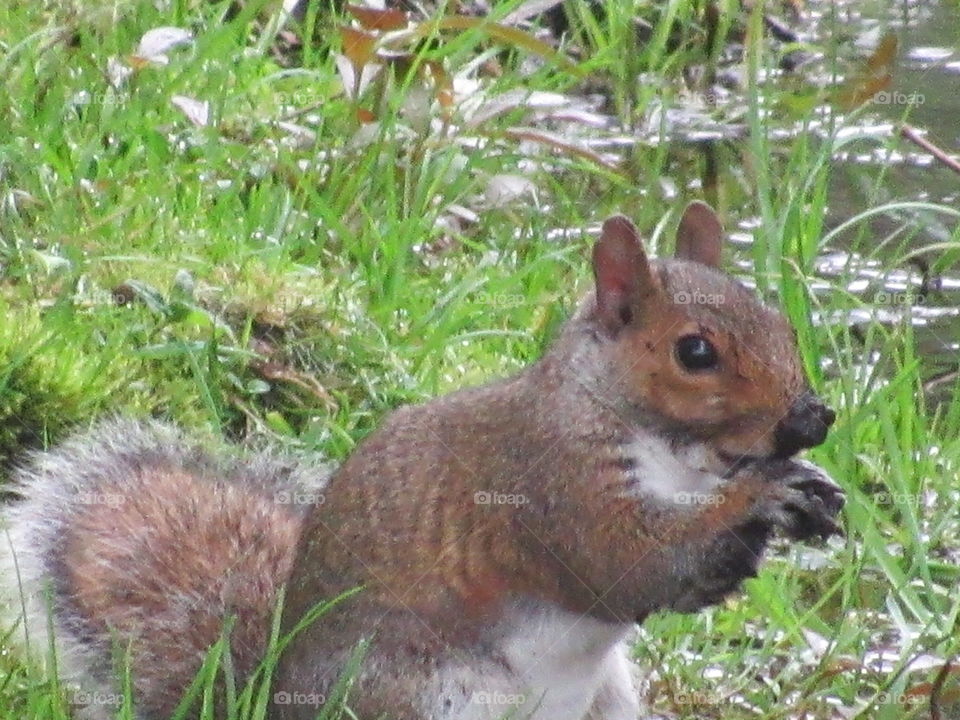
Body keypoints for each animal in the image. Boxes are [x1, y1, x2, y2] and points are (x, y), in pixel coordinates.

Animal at [0, 201, 844, 720]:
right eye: (694, 352)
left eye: (779, 319)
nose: (813, 418)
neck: (678, 456)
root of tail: (270, 699)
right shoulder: (547, 484)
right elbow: (626, 564)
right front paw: (763, 499)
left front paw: (810, 491)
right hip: (426, 698)